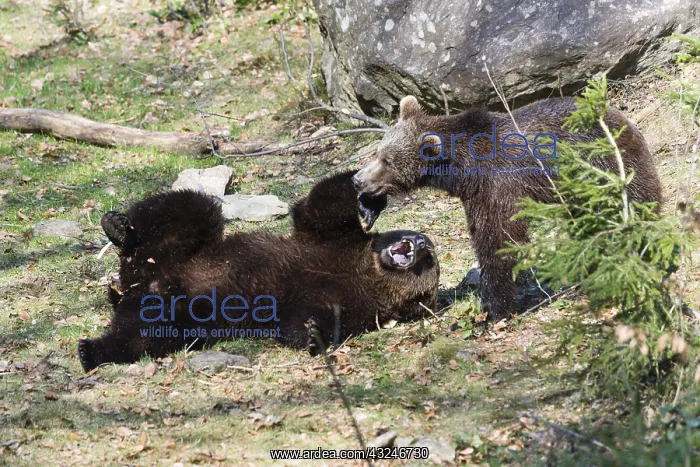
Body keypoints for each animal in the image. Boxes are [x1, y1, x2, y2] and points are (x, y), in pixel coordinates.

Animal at [78, 170, 440, 372]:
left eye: (431, 261)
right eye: (429, 250)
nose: (422, 242)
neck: (365, 271)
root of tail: (136, 283)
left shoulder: (353, 303)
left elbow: (302, 320)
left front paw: (313, 333)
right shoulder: (333, 243)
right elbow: (319, 208)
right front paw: (369, 200)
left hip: (180, 311)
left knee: (145, 336)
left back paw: (91, 351)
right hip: (180, 252)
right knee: (190, 208)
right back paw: (118, 227)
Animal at [352, 95, 662, 322]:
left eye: (388, 161)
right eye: (378, 152)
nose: (357, 179)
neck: (464, 170)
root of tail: (618, 113)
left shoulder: (499, 184)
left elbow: (499, 239)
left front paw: (492, 310)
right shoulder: (477, 194)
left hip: (607, 164)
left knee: (638, 200)